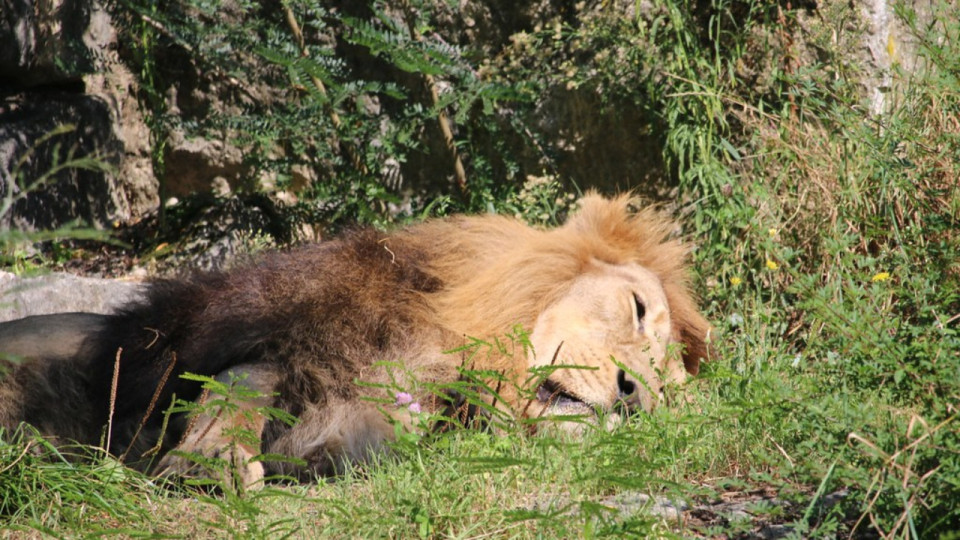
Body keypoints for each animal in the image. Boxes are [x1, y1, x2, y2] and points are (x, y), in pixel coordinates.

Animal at [0, 194, 711, 486]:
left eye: (665, 397)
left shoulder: (378, 422)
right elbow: (240, 378)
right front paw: (210, 459)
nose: (632, 395)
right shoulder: (215, 336)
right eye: (637, 310)